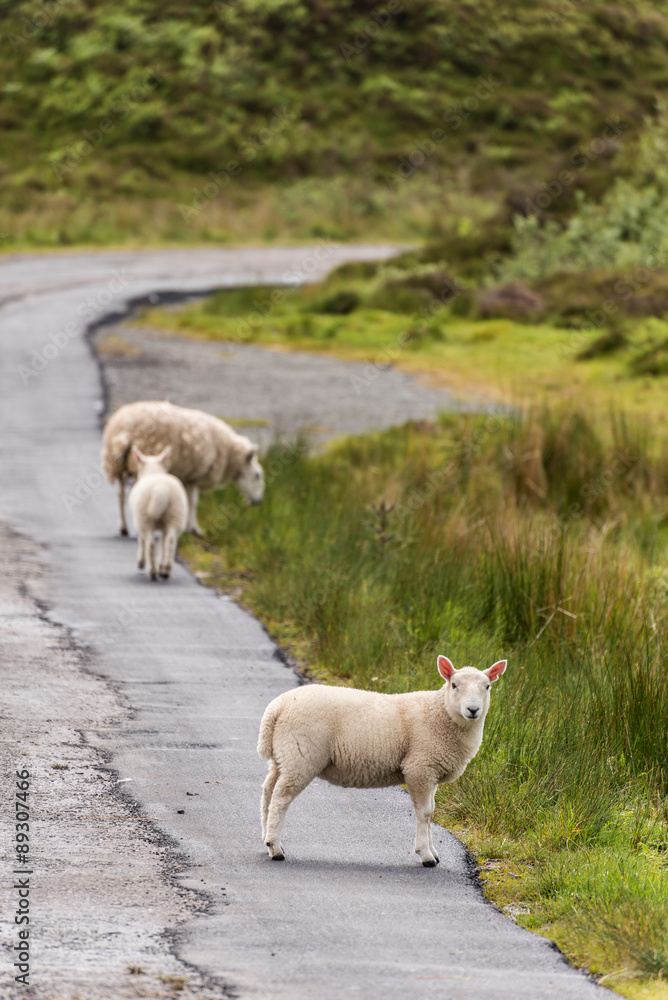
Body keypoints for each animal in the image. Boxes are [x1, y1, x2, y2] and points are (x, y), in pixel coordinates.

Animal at [102, 400, 265, 536]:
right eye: (257, 475)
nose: (259, 502)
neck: (228, 454)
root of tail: (123, 433)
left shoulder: (187, 476)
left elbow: (187, 500)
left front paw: (186, 527)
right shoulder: (194, 476)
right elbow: (193, 502)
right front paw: (194, 529)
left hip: (117, 466)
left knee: (120, 496)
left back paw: (123, 528)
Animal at [128, 446, 188, 581]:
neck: (153, 471)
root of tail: (161, 490)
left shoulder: (140, 521)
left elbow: (142, 540)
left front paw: (141, 562)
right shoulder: (164, 527)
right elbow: (162, 543)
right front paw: (162, 567)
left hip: (145, 518)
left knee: (150, 544)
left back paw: (153, 572)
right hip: (176, 514)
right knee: (171, 542)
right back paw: (166, 570)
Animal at [257, 655, 507, 865]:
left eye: (487, 686)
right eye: (454, 685)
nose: (473, 710)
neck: (441, 713)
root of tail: (278, 706)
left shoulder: (431, 771)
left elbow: (432, 812)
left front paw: (434, 852)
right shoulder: (420, 767)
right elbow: (425, 813)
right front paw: (426, 855)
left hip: (283, 755)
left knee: (268, 791)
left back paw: (266, 840)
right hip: (301, 755)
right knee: (281, 797)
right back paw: (275, 848)